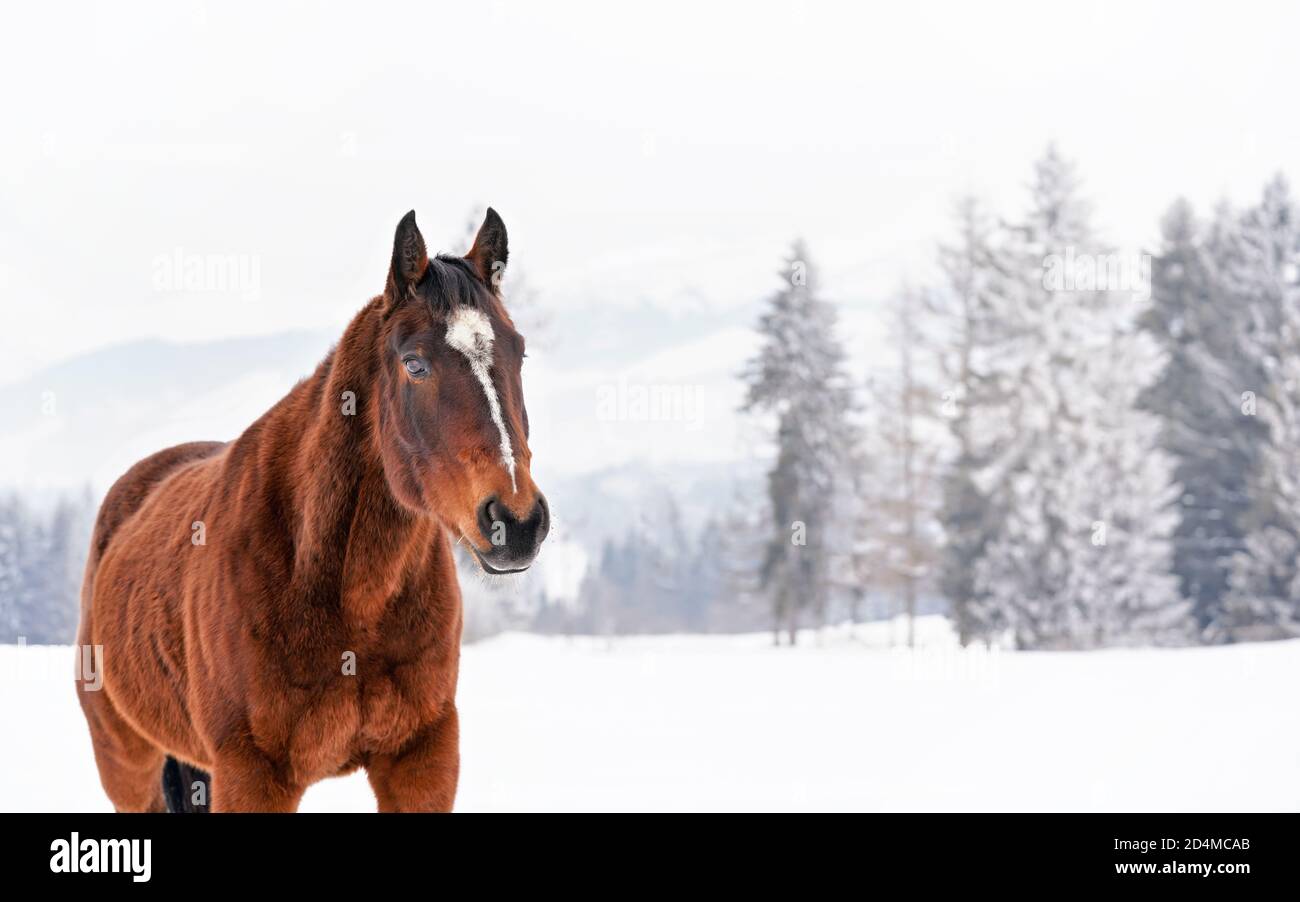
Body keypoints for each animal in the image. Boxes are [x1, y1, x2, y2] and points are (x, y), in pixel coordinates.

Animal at [74, 209, 548, 812]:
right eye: (414, 364)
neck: (341, 589)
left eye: (520, 352)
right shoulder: (252, 774)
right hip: (129, 765)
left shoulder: (421, 759)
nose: (516, 522)